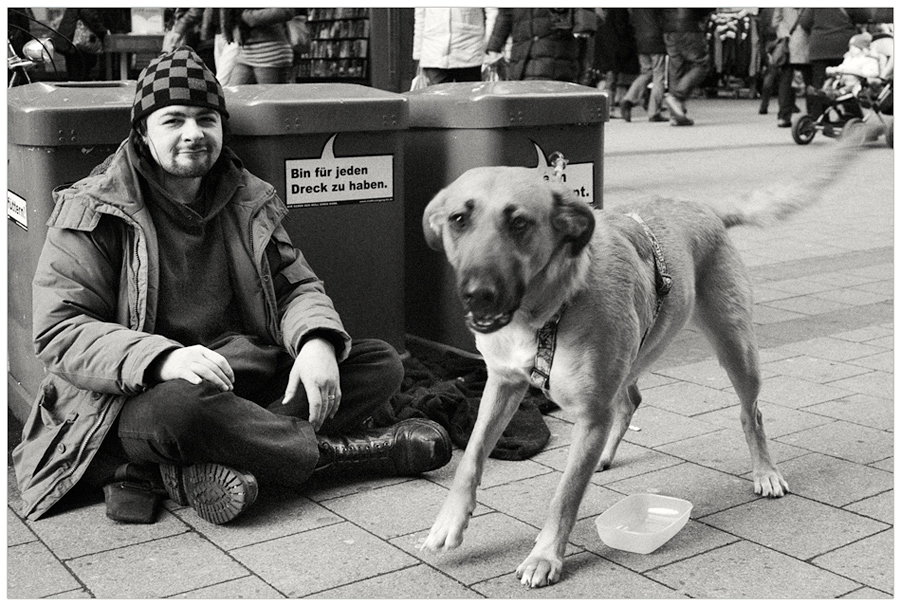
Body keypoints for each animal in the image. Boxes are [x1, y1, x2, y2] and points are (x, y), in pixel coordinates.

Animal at [414, 157, 852, 588]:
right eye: (458, 219)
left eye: (519, 223)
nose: (477, 294)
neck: (549, 307)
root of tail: (704, 209)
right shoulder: (503, 383)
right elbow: (472, 457)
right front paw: (448, 523)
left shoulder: (591, 413)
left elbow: (565, 493)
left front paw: (545, 556)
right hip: (637, 353)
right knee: (630, 401)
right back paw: (605, 453)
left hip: (736, 349)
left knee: (751, 414)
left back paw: (765, 472)